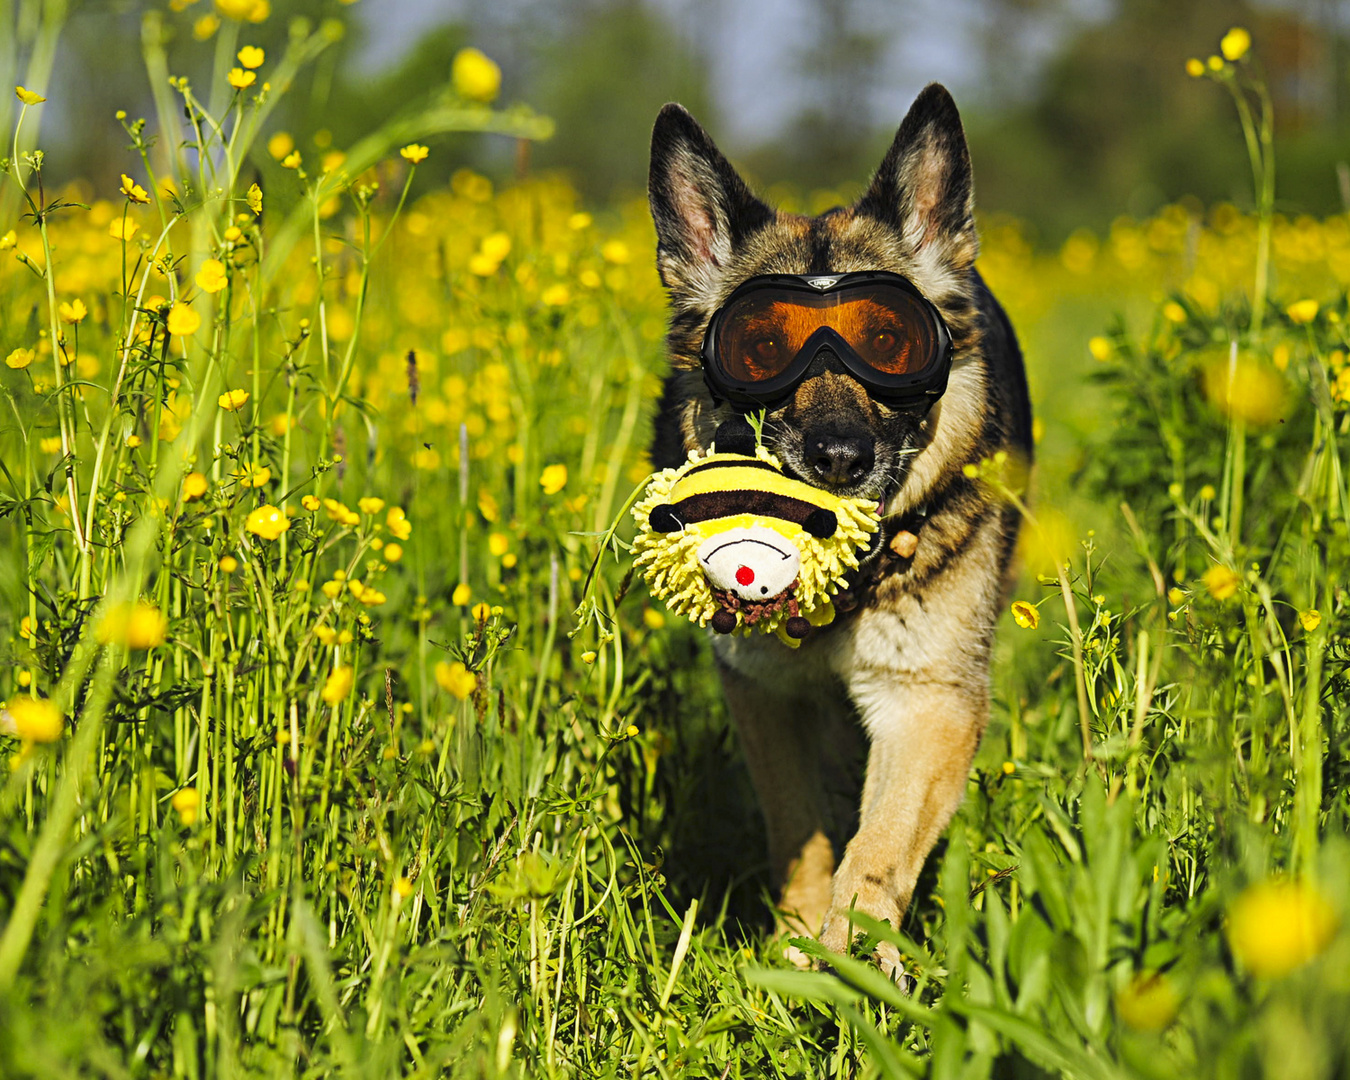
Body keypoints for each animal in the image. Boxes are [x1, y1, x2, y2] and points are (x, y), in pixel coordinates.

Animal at [642, 84, 1031, 972]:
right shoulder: (764, 694)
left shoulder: (929, 704)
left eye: (889, 340)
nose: (841, 458)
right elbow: (801, 828)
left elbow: (878, 846)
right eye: (759, 346)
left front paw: (853, 957)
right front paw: (794, 943)